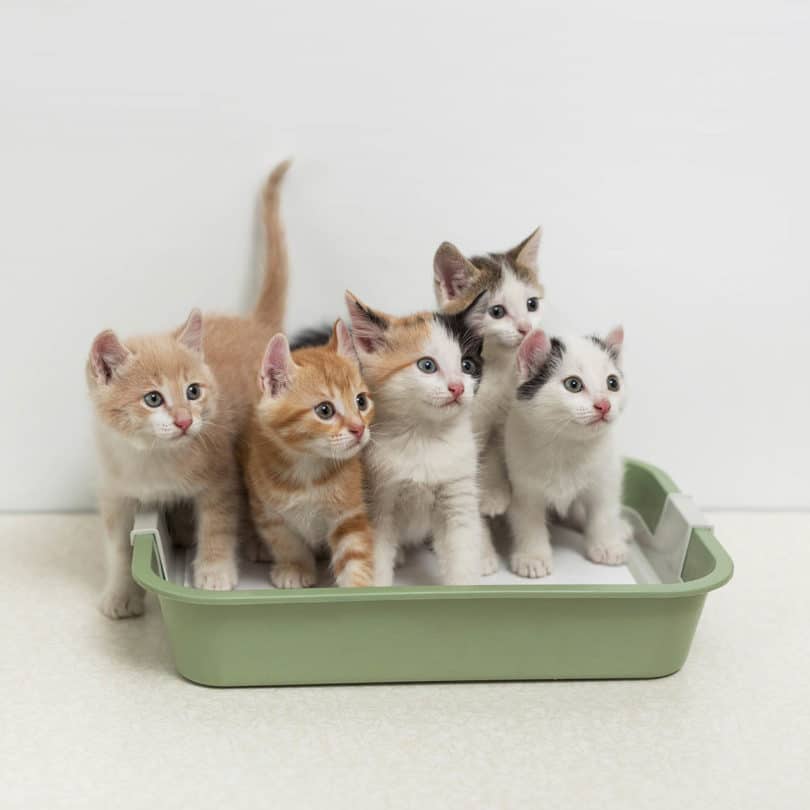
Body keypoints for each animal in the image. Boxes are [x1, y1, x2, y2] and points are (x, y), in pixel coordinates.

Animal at [87, 159, 290, 620]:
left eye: (194, 392)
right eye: (153, 399)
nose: (183, 421)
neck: (152, 460)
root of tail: (255, 324)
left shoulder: (220, 477)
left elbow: (217, 523)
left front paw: (214, 573)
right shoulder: (115, 494)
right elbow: (117, 549)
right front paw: (120, 593)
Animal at [237, 320, 376, 588]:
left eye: (361, 401)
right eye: (325, 410)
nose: (359, 428)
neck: (308, 468)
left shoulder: (348, 511)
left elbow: (354, 550)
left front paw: (358, 586)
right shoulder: (267, 511)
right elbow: (285, 542)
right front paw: (295, 567)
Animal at [342, 294, 486, 584]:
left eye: (467, 365)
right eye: (427, 365)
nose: (457, 387)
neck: (424, 437)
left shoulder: (458, 493)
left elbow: (462, 549)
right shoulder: (377, 500)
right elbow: (376, 555)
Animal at [504, 326, 632, 576]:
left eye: (613, 383)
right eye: (573, 384)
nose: (604, 405)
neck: (567, 444)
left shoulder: (606, 476)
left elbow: (604, 511)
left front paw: (607, 545)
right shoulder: (522, 485)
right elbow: (528, 520)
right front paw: (532, 557)